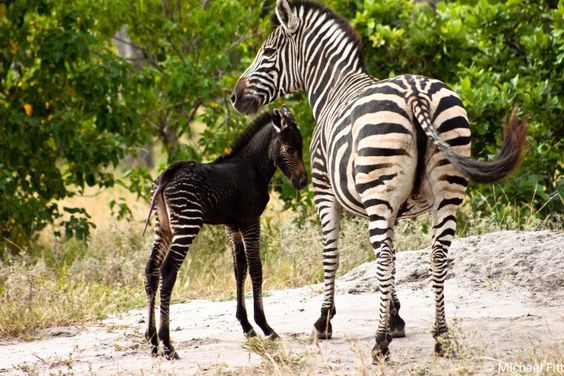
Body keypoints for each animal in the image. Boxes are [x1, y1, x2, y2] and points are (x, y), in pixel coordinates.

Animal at [143, 106, 306, 358]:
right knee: (168, 270)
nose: (303, 182)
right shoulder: (250, 221)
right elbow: (256, 269)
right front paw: (265, 327)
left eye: (302, 147)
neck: (253, 168)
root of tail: (168, 174)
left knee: (151, 269)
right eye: (289, 149)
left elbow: (240, 268)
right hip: (188, 224)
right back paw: (167, 345)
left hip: (164, 228)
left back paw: (152, 341)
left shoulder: (232, 226)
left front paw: (247, 326)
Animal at [230, 0, 528, 358]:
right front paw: (397, 318)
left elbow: (333, 253)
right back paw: (441, 336)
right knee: (437, 255)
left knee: (383, 257)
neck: (333, 86)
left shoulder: (324, 191)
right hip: (446, 187)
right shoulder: (394, 207)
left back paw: (379, 343)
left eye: (269, 51)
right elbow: (396, 257)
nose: (234, 97)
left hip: (378, 188)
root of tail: (416, 93)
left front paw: (325, 321)